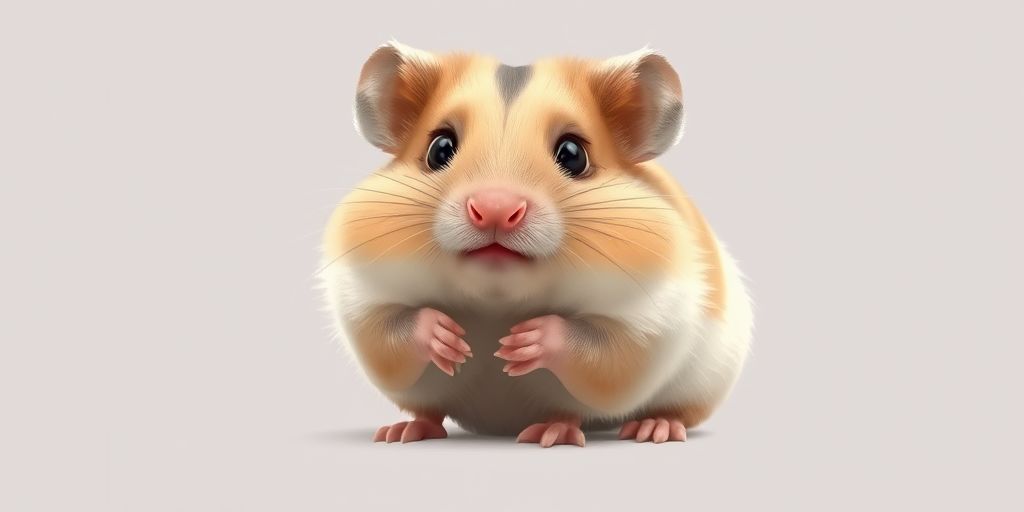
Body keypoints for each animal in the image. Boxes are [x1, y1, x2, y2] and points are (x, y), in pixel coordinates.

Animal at [318, 41, 754, 447]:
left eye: (573, 155)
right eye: (439, 149)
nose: (494, 209)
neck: (496, 300)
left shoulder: (649, 319)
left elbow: (605, 352)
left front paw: (520, 343)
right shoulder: (362, 297)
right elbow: (388, 332)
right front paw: (449, 337)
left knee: (616, 412)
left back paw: (618, 430)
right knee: (429, 412)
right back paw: (402, 432)